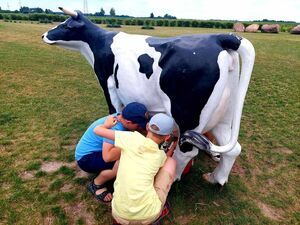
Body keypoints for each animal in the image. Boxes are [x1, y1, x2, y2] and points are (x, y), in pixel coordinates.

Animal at [42, 7, 255, 185]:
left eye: (66, 25)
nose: (44, 34)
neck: (98, 44)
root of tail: (218, 37)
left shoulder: (107, 85)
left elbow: (114, 112)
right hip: (224, 113)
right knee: (233, 148)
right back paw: (215, 179)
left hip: (189, 115)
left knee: (186, 151)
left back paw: (173, 177)